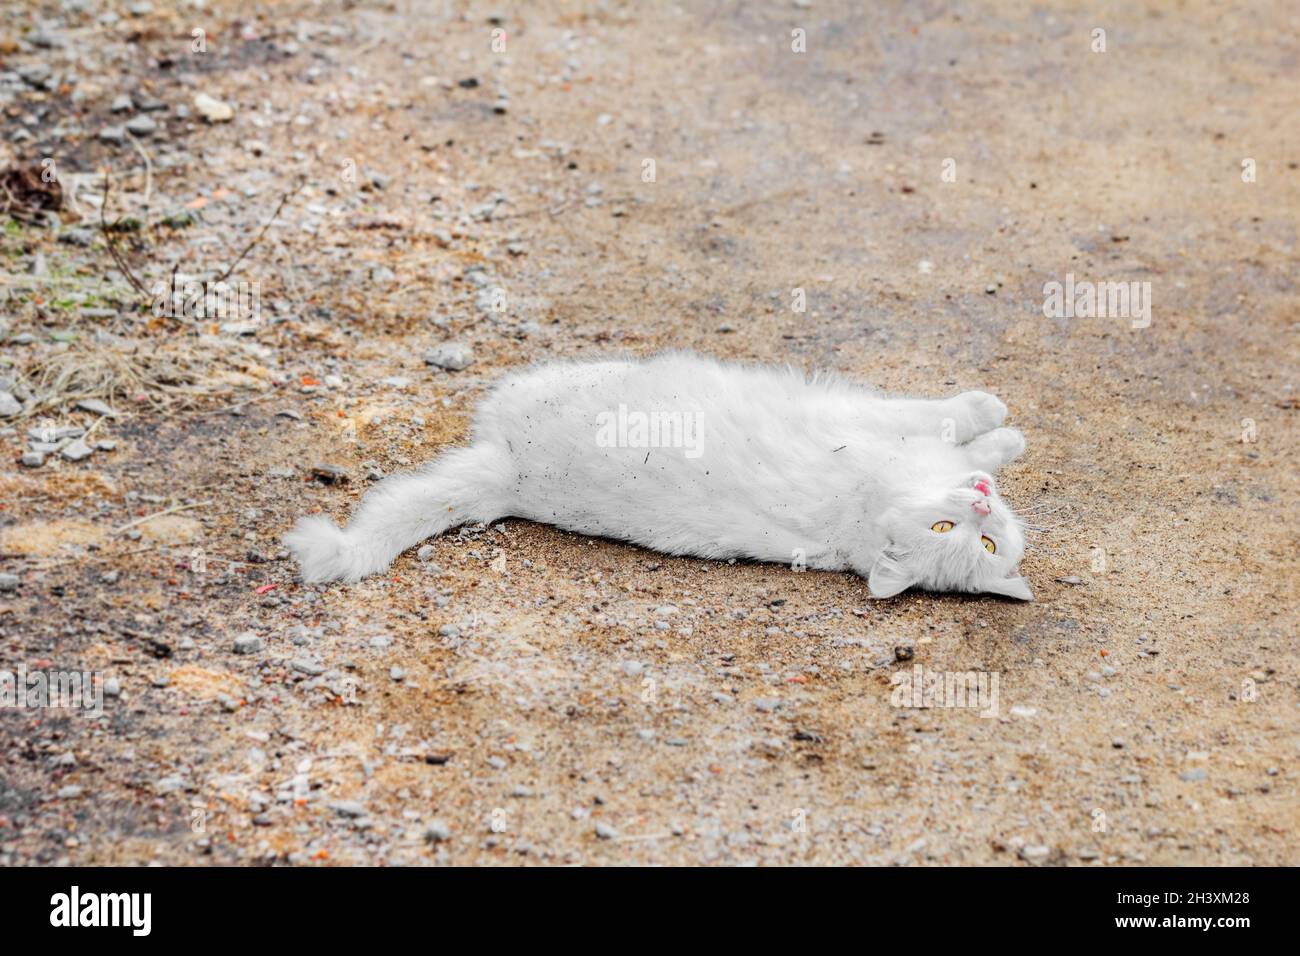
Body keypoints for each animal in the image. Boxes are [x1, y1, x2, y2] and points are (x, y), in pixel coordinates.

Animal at [287, 356, 1034, 600]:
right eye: (944, 526)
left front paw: (1000, 443)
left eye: (985, 544)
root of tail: (512, 476)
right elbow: (951, 416)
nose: (981, 505)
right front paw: (998, 424)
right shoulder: (876, 420)